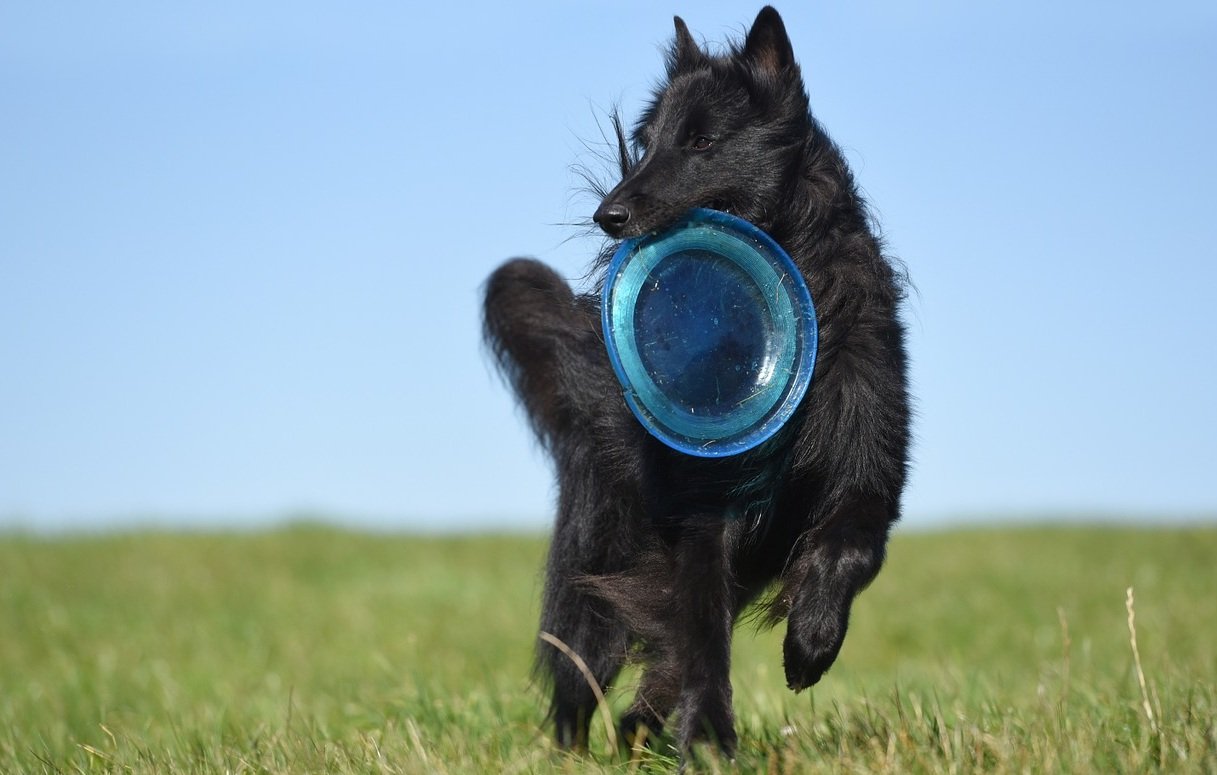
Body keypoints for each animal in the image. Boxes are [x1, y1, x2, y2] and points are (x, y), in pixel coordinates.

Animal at [479, 6, 910, 754]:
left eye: (702, 141)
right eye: (646, 144)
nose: (608, 216)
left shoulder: (869, 475)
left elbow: (848, 550)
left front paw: (811, 643)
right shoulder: (706, 518)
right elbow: (703, 633)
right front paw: (709, 737)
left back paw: (642, 731)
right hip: (595, 571)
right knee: (581, 679)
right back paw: (582, 751)